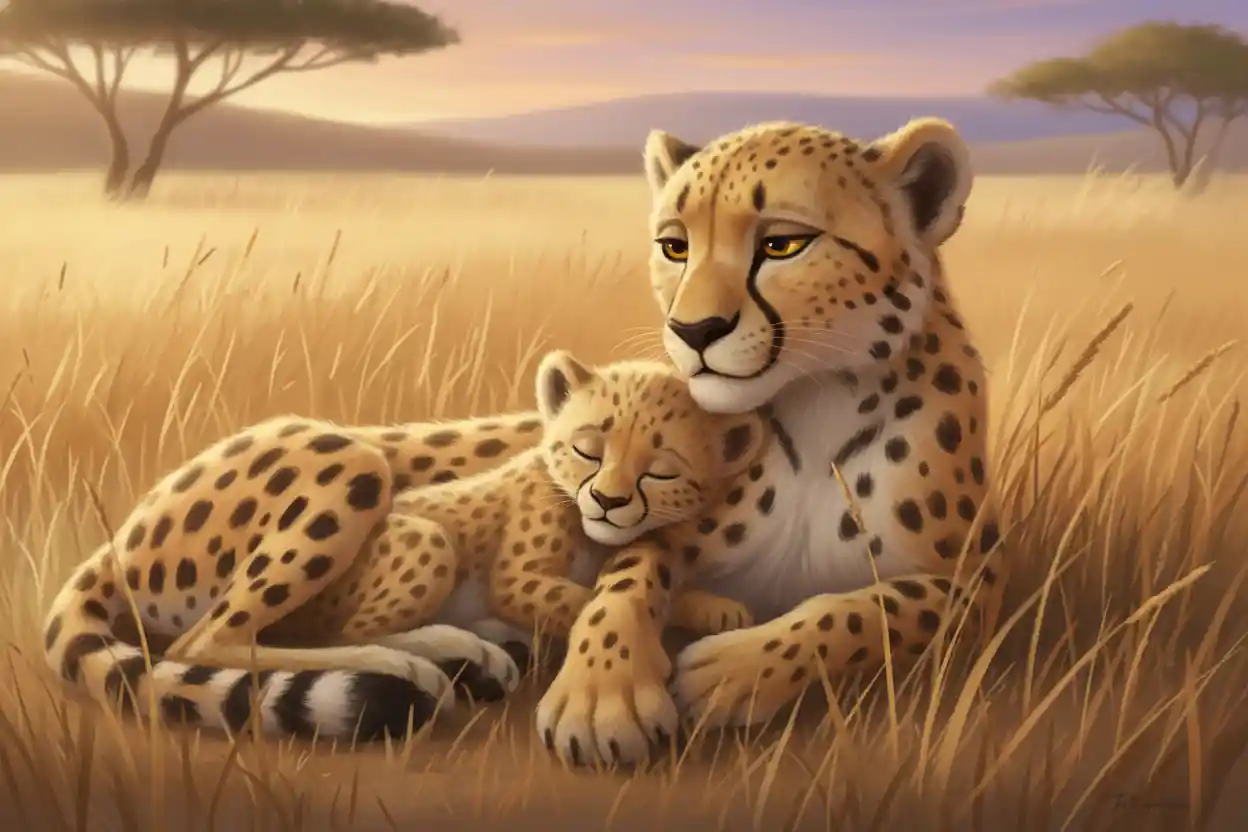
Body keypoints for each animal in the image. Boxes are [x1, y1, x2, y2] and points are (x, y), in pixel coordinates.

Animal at [42, 349, 764, 744]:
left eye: (661, 469)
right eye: (589, 448)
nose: (610, 500)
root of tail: (122, 537)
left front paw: (712, 609)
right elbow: (590, 597)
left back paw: (467, 651)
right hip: (357, 474)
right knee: (216, 640)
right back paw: (410, 666)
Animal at [531, 116, 1008, 766]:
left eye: (782, 244)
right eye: (676, 246)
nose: (693, 330)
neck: (819, 401)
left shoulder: (977, 587)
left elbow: (866, 610)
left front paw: (730, 670)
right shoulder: (661, 530)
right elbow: (624, 578)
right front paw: (602, 692)